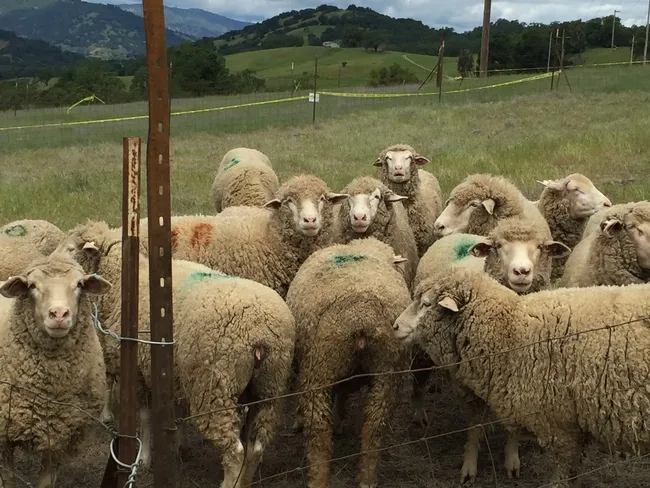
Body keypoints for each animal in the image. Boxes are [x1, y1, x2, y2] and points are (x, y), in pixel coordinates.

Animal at [0, 253, 111, 488]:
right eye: (32, 286)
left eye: (79, 285)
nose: (59, 314)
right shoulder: (2, 437)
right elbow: (9, 480)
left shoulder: (60, 438)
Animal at [58, 221, 296, 487]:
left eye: (70, 249)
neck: (124, 282)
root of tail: (261, 333)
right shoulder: (174, 371)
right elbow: (176, 411)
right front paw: (180, 445)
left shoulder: (138, 371)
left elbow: (145, 418)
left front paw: (145, 458)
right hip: (269, 385)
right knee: (256, 446)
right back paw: (246, 480)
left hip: (215, 386)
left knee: (235, 451)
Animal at [285, 237, 411, 488]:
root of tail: (362, 318)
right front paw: (340, 420)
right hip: (389, 370)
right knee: (375, 426)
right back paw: (367, 478)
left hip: (319, 367)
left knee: (319, 431)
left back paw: (318, 479)